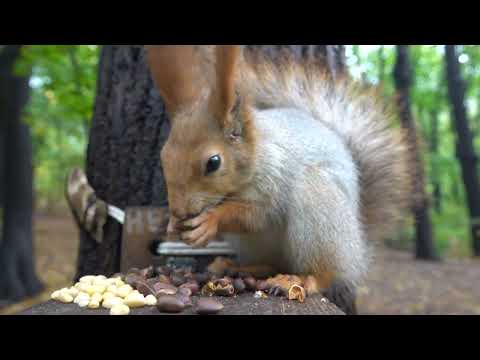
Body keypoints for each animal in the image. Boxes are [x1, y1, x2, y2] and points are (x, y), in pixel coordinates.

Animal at [144, 45, 410, 316]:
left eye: (213, 162)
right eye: (164, 155)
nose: (179, 210)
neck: (256, 154)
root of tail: (357, 251)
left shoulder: (276, 177)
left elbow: (257, 215)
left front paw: (210, 221)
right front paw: (172, 224)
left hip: (320, 208)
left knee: (325, 273)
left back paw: (299, 279)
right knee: (270, 263)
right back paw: (236, 267)